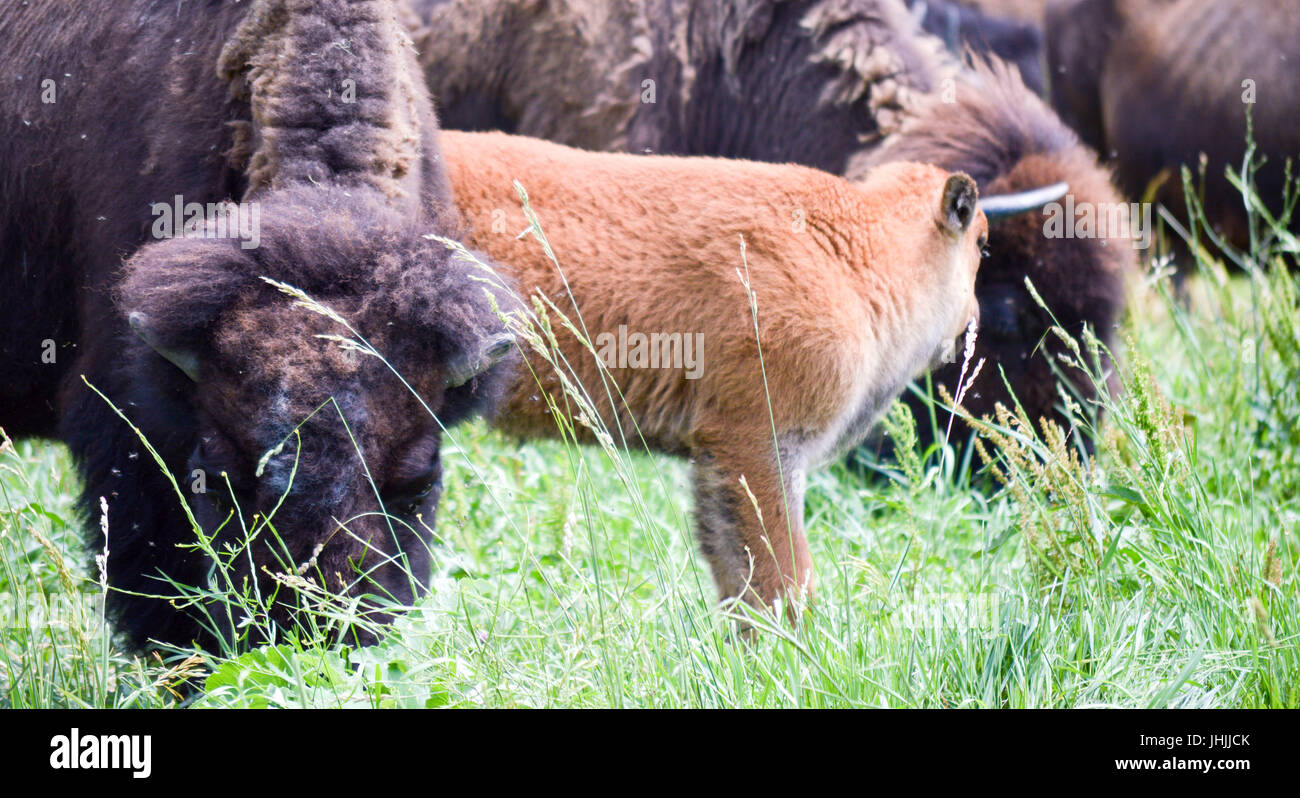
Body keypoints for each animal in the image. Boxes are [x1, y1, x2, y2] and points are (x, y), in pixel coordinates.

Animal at [439, 131, 982, 618]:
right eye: (983, 246)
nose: (973, 320)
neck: (851, 258)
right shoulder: (760, 444)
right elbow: (781, 569)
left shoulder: (714, 458)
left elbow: (735, 568)